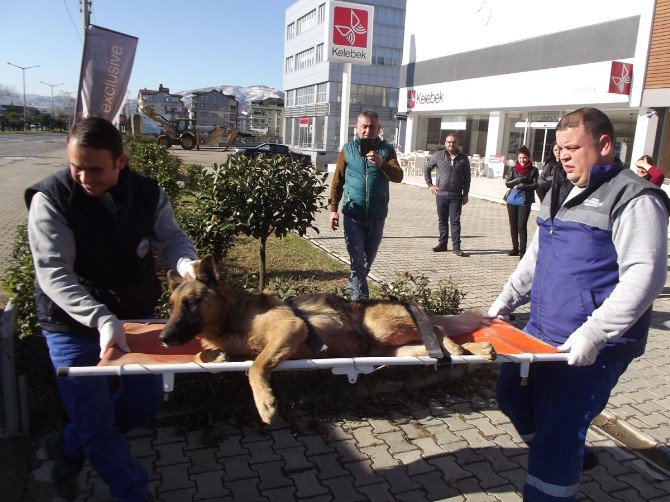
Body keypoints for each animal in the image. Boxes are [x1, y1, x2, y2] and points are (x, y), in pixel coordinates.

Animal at [163, 255, 498, 424]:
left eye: (190, 304)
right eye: (171, 305)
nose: (164, 338)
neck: (231, 318)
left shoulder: (290, 328)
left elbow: (255, 366)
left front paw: (265, 402)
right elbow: (207, 356)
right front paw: (214, 356)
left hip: (380, 325)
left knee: (439, 331)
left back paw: (467, 346)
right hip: (400, 349)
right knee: (437, 342)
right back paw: (475, 349)